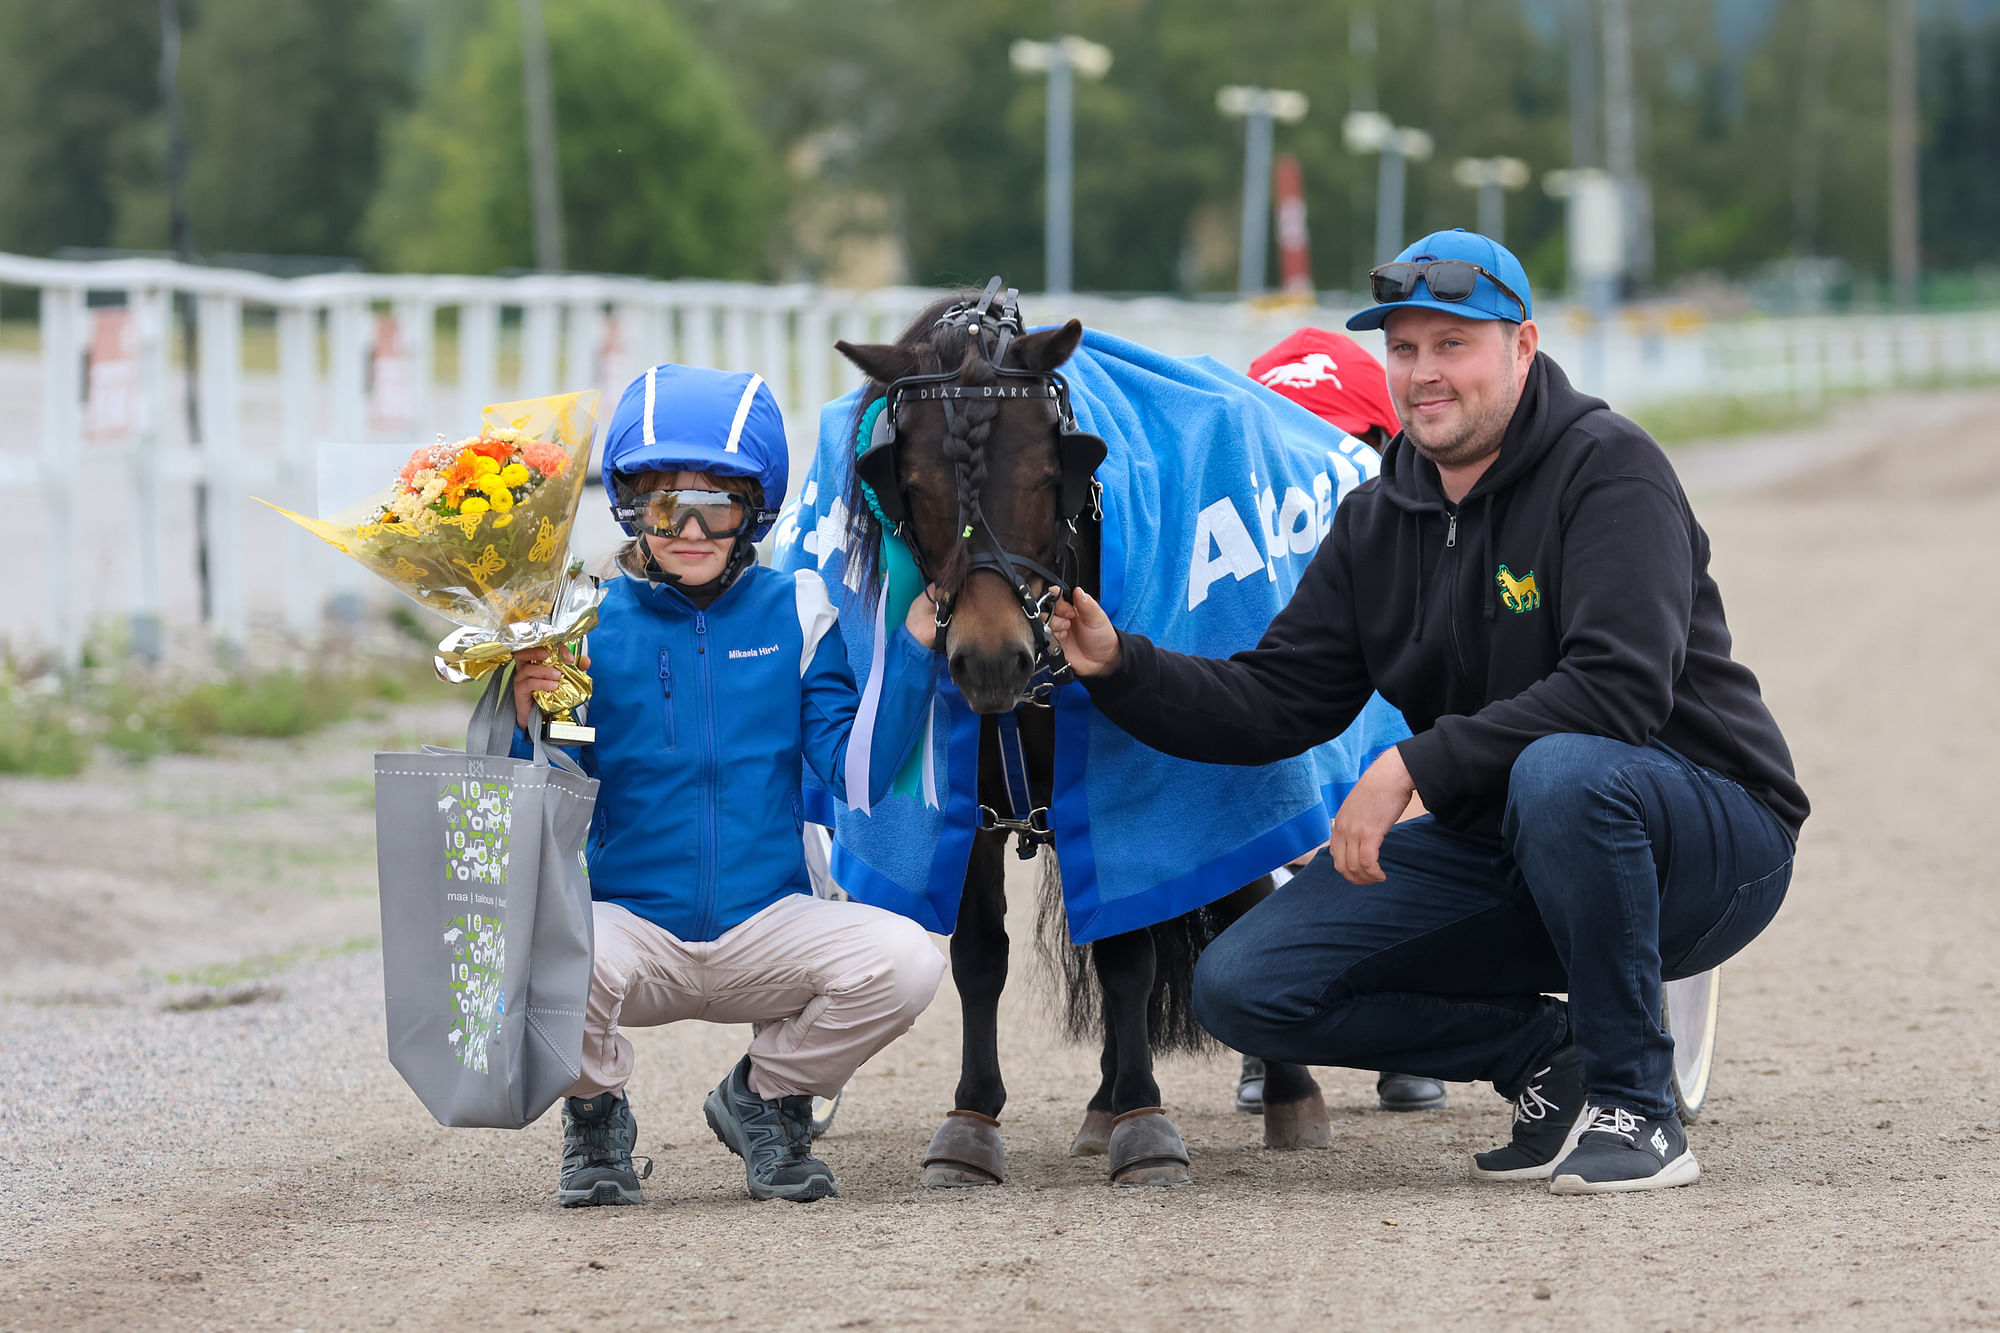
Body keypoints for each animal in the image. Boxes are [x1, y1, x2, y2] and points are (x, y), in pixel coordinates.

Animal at [828, 282, 1328, 1184]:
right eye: (909, 480)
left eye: (1044, 474)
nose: (991, 657)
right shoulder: (973, 799)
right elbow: (978, 955)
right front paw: (971, 1119)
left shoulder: (1129, 783)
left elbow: (1127, 955)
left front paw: (1143, 1118)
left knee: (1236, 895)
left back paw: (1285, 1090)